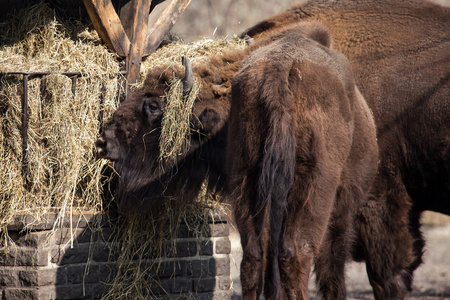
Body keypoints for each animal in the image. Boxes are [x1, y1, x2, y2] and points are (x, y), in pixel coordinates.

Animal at [97, 22, 380, 298]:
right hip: (308, 192)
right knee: (294, 254)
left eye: (154, 106)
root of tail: (280, 75)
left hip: (248, 181)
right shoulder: (341, 207)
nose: (103, 141)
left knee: (255, 256)